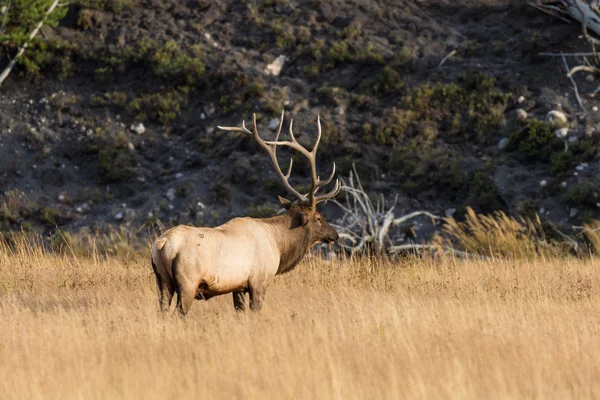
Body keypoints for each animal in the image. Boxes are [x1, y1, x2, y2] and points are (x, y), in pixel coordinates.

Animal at [151, 111, 342, 316]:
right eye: (319, 218)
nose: (335, 235)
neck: (279, 245)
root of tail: (162, 244)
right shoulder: (259, 281)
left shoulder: (239, 287)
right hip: (188, 283)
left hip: (162, 282)